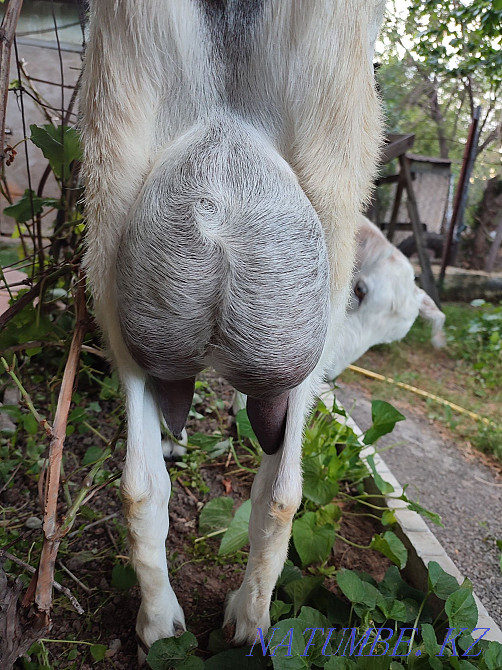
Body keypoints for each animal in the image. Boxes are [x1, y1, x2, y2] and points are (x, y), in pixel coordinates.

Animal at [80, 0, 386, 652]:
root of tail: (217, 215)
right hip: (334, 179)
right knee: (283, 488)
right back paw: (248, 622)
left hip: (113, 176)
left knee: (140, 479)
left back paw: (160, 625)